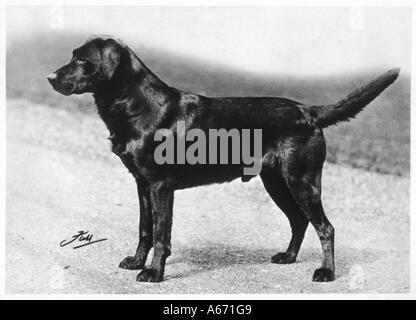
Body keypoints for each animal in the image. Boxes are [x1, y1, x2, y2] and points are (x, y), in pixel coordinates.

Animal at [48, 35, 400, 282]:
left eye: (81, 59)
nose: (50, 77)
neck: (138, 105)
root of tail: (309, 112)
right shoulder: (141, 183)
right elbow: (145, 228)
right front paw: (136, 262)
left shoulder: (160, 186)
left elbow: (161, 234)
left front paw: (154, 273)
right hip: (276, 182)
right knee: (299, 221)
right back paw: (287, 257)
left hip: (302, 181)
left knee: (325, 227)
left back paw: (326, 273)